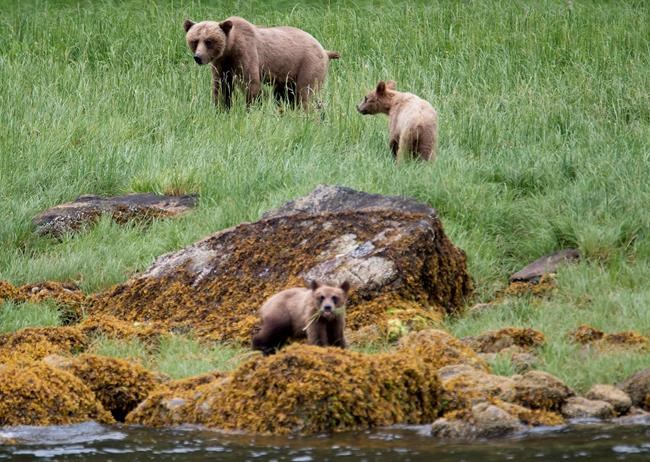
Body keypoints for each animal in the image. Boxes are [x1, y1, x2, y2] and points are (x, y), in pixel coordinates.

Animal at [183, 16, 340, 109]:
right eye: (194, 40)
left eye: (209, 41)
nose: (198, 57)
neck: (230, 48)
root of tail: (324, 50)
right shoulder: (221, 64)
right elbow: (222, 87)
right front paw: (221, 109)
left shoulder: (246, 53)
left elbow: (251, 83)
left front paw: (252, 108)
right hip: (288, 76)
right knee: (285, 96)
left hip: (308, 64)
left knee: (305, 94)